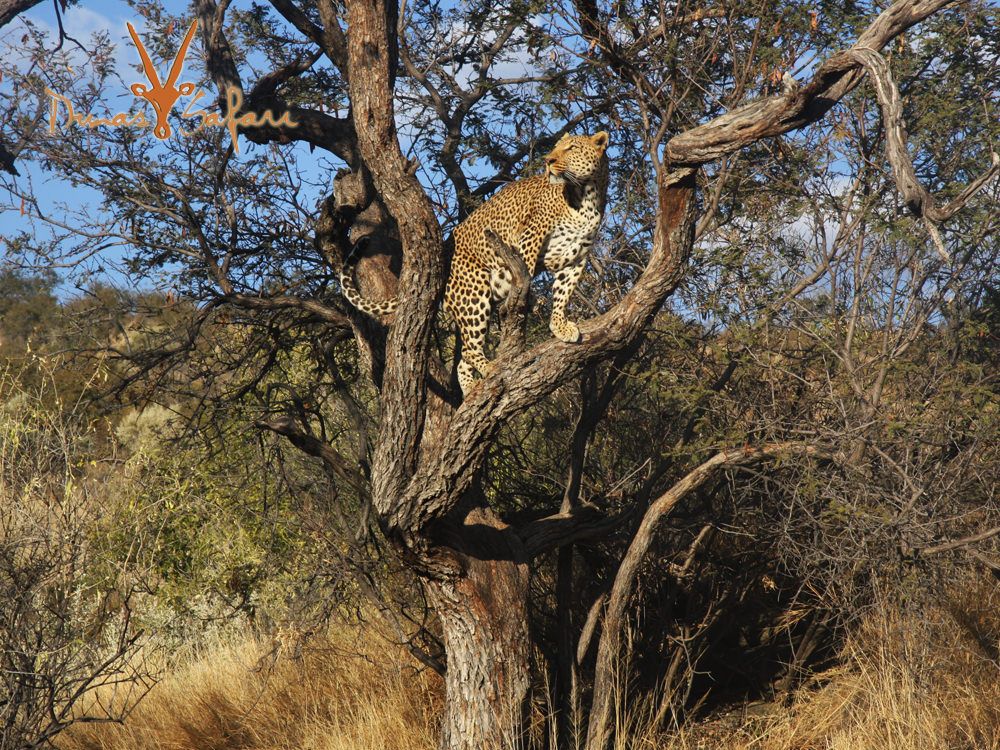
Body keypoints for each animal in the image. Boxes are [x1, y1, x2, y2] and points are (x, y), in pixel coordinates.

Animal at [342, 131, 608, 396]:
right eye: (555, 149)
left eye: (571, 148)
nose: (548, 161)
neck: (587, 197)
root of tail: (442, 257)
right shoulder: (532, 233)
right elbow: (526, 266)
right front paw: (529, 299)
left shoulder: (576, 257)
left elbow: (563, 293)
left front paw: (560, 325)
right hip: (473, 295)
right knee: (469, 349)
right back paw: (491, 367)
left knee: (464, 358)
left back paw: (472, 388)